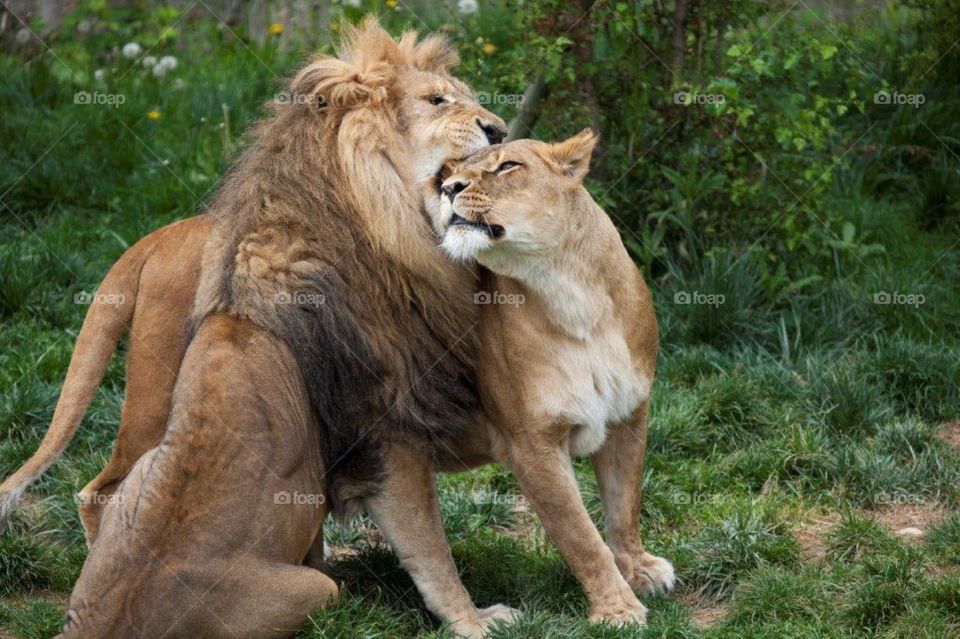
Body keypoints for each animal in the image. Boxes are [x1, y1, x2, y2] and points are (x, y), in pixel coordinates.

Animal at [10, 21, 521, 638]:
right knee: (97, 492)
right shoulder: (388, 425)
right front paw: (475, 619)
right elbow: (430, 545)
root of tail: (151, 241)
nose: (499, 130)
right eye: (437, 100)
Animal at [428, 131, 675, 625]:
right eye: (452, 172)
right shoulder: (532, 444)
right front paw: (618, 609)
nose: (447, 189)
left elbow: (624, 505)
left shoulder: (629, 415)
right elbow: (580, 535)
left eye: (508, 167)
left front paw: (639, 570)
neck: (572, 292)